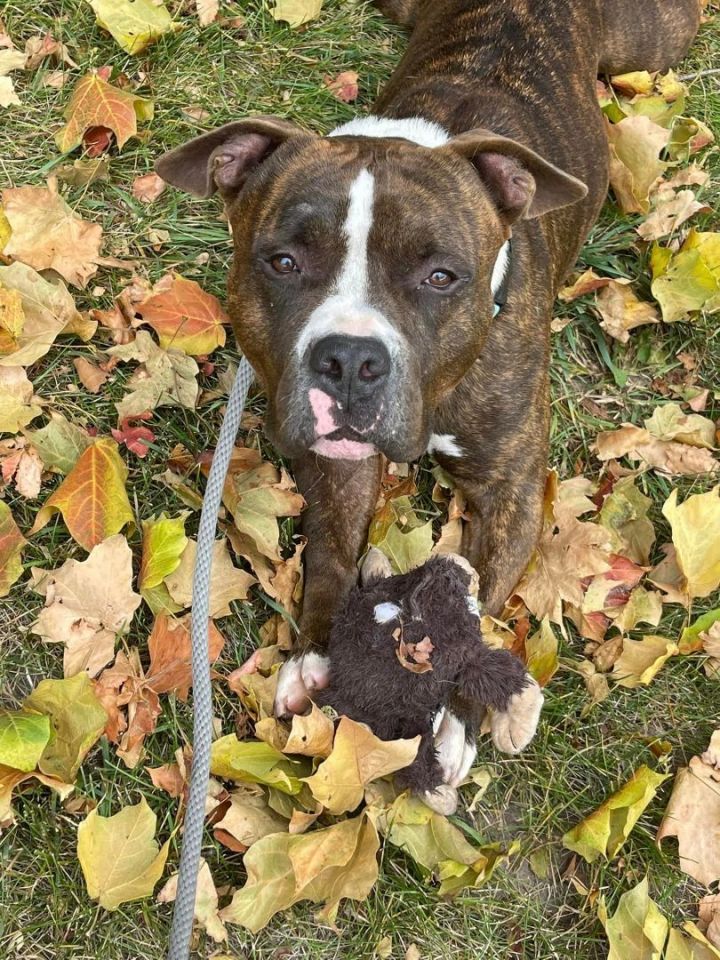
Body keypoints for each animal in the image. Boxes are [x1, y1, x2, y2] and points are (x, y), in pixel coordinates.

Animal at [156, 0, 696, 796]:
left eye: (442, 276)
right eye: (282, 262)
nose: (351, 360)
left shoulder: (510, 494)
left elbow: (475, 612)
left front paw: (454, 729)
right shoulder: (342, 463)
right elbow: (332, 554)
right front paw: (317, 659)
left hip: (656, 46)